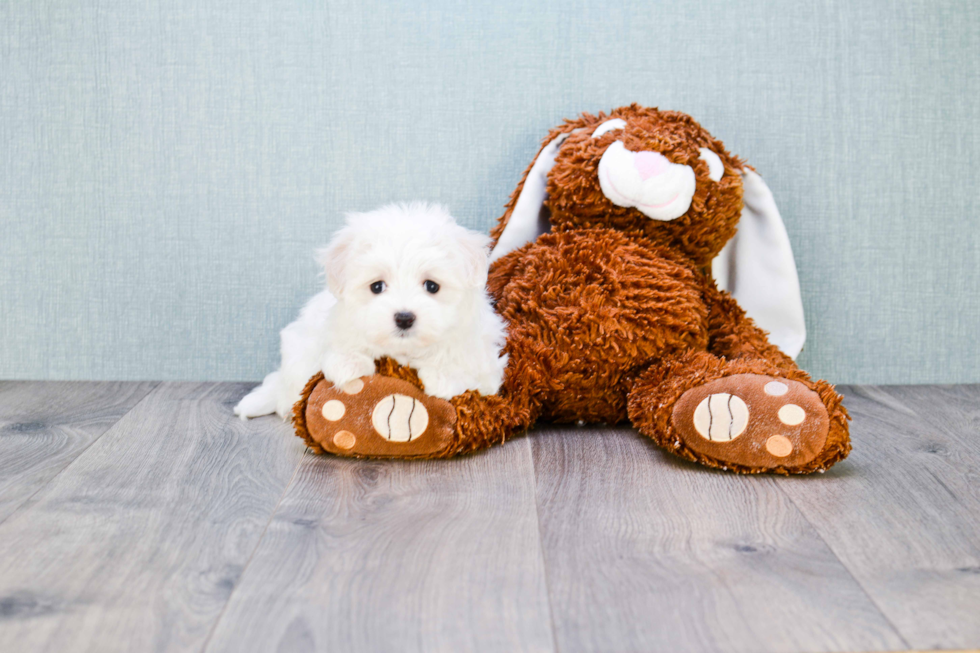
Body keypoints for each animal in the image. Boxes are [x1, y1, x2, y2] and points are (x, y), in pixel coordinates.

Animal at [234, 201, 510, 420]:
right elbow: (341, 346)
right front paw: (349, 363)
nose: (404, 318)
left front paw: (443, 376)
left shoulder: (483, 357)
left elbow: (462, 360)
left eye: (432, 286)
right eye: (377, 286)